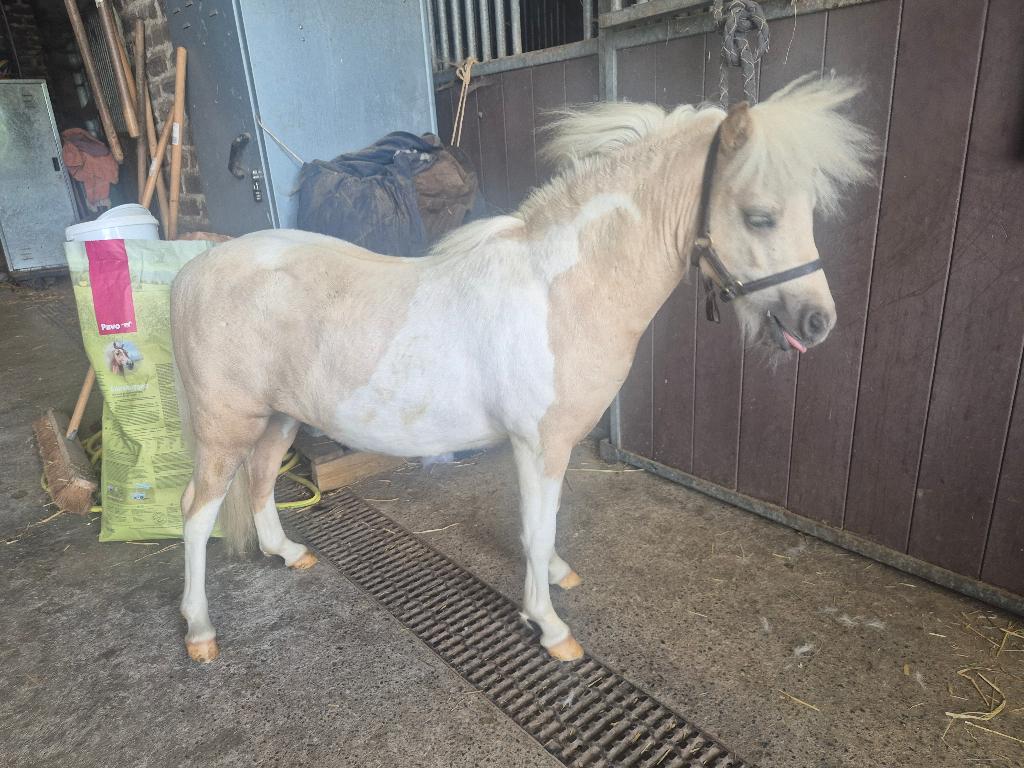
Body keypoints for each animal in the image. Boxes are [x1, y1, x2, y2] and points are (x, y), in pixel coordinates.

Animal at [170, 74, 872, 664]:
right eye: (760, 216)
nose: (819, 322)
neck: (562, 287)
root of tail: (195, 271)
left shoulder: (538, 446)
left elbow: (543, 527)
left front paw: (556, 577)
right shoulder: (542, 443)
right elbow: (536, 532)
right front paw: (551, 627)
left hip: (277, 418)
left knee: (261, 478)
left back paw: (288, 555)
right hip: (226, 427)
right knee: (197, 513)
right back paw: (200, 631)